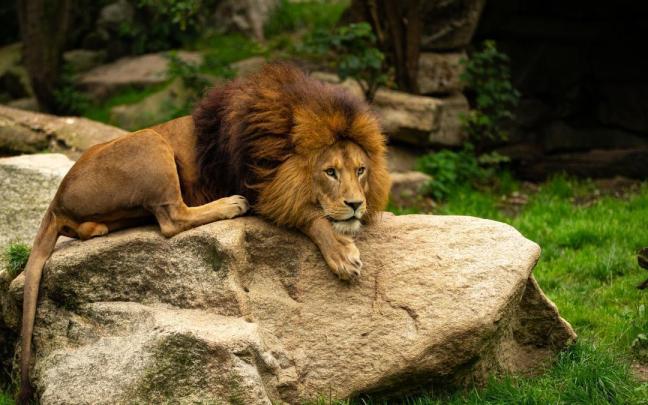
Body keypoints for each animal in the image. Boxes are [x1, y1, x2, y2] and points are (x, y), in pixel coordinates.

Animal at [16, 62, 390, 403]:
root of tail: (56, 198)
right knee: (171, 218)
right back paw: (230, 205)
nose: (356, 204)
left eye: (361, 170)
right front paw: (341, 253)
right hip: (151, 140)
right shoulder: (262, 188)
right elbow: (311, 216)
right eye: (330, 172)